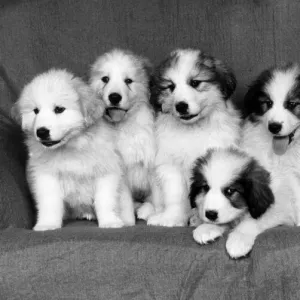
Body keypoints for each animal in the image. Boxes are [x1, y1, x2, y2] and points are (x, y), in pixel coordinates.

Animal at [12, 69, 135, 231]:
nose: (41, 132)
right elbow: (50, 202)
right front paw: (47, 224)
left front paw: (110, 222)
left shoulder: (106, 173)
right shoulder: (46, 176)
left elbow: (105, 201)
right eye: (36, 111)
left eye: (59, 109)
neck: (71, 147)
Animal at [90, 48, 158, 218]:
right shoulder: (120, 173)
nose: (114, 97)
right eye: (105, 79)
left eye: (128, 81)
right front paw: (127, 221)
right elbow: (125, 203)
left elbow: (159, 197)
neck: (125, 127)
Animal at [145, 48, 241, 226]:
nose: (181, 106)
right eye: (171, 87)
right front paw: (172, 218)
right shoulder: (171, 167)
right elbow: (175, 196)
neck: (192, 129)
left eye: (195, 83)